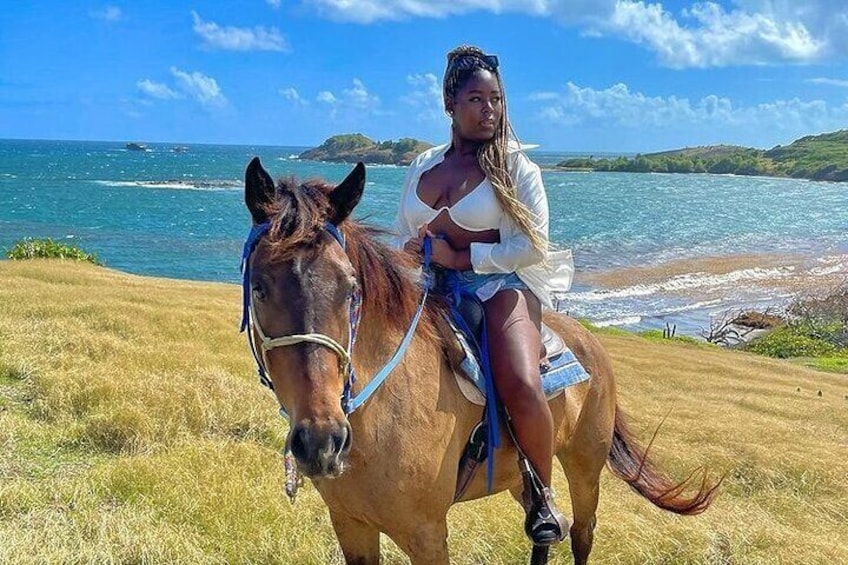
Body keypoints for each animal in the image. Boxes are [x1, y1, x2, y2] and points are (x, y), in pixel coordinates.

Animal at [240, 155, 724, 564]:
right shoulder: (351, 526)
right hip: (524, 479)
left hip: (586, 465)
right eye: (259, 287)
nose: (322, 442)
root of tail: (591, 342)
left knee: (582, 533)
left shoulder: (427, 534)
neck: (380, 413)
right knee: (548, 529)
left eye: (351, 289)